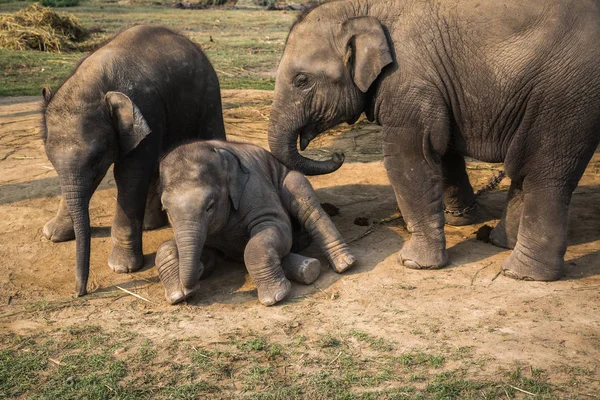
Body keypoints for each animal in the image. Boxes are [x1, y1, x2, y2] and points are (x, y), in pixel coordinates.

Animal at [41, 23, 225, 296]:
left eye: (97, 158)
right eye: (50, 157)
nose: (79, 292)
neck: (92, 82)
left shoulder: (147, 109)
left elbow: (130, 176)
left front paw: (122, 268)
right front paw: (53, 235)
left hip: (209, 94)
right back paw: (150, 225)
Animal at [156, 141, 356, 306]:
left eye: (209, 206)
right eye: (166, 210)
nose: (197, 270)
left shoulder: (254, 187)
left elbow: (274, 230)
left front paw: (275, 297)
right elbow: (167, 248)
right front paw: (178, 295)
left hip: (292, 181)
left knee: (306, 203)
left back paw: (342, 264)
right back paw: (307, 267)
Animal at [268, 0, 600, 282]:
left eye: (301, 81)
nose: (338, 155)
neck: (366, 8)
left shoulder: (408, 79)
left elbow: (409, 155)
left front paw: (413, 263)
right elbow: (443, 150)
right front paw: (459, 222)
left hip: (566, 94)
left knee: (544, 171)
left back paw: (521, 274)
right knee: (525, 166)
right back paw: (500, 243)